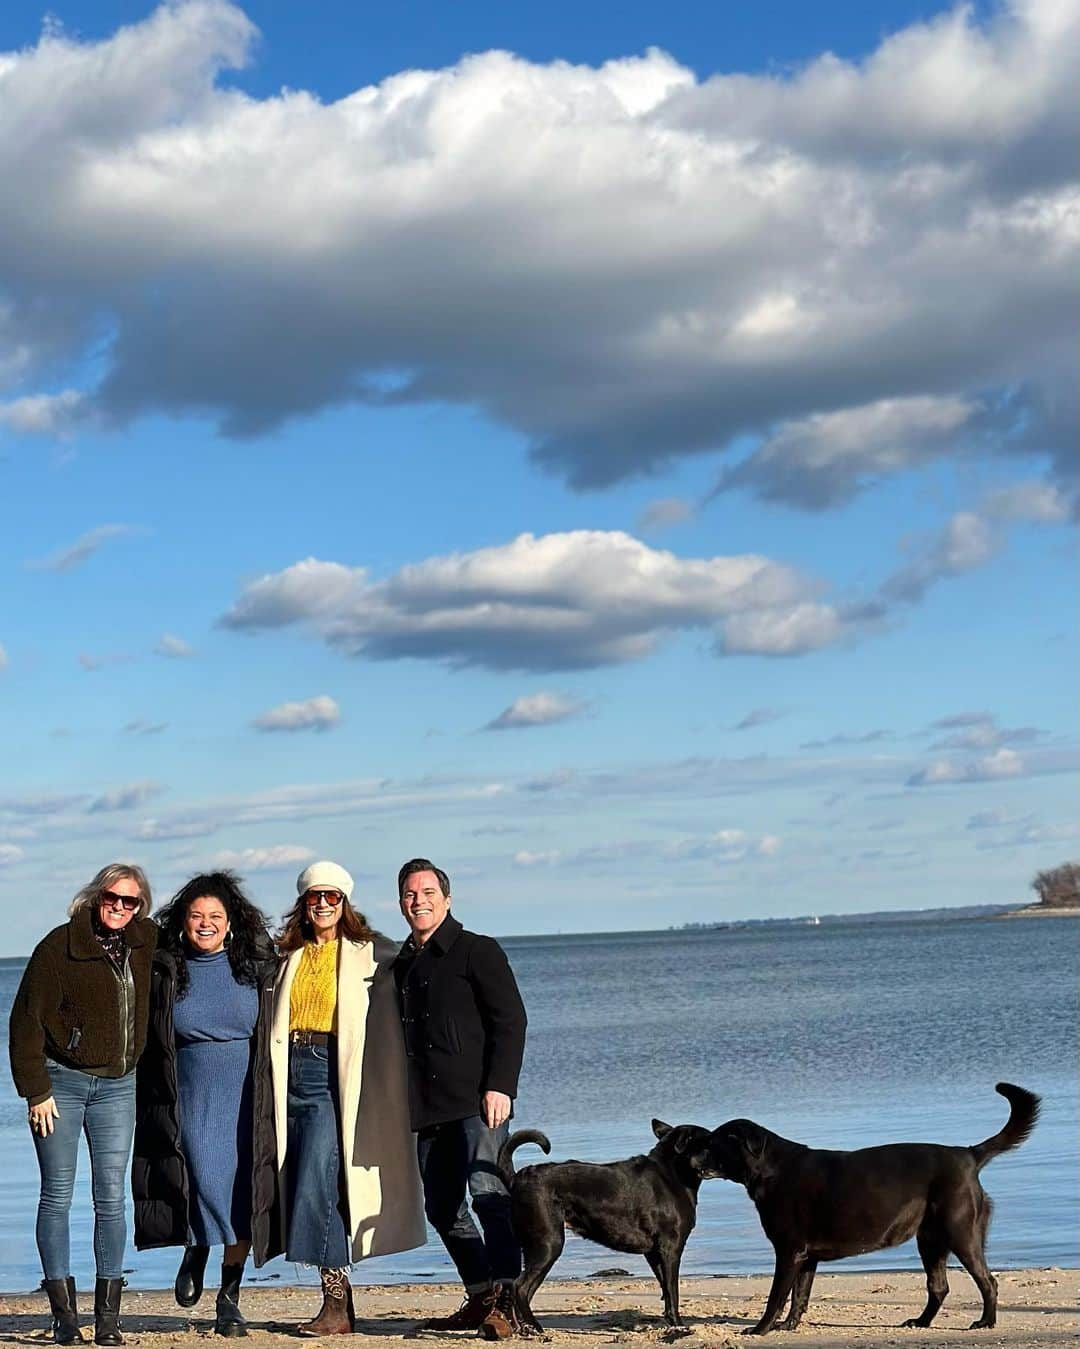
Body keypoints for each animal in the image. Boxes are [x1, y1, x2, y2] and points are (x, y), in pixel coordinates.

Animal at [496, 1122, 717, 1332]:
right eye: (709, 1141)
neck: (672, 1174)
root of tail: (517, 1178)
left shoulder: (654, 1253)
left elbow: (665, 1288)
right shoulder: (670, 1248)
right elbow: (673, 1290)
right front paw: (678, 1324)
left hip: (534, 1247)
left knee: (520, 1291)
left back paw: (524, 1329)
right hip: (549, 1244)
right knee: (520, 1287)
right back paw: (536, 1327)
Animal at [695, 1079, 1040, 1332]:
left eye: (712, 1144)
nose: (691, 1160)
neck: (771, 1169)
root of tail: (968, 1154)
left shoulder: (789, 1250)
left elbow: (777, 1296)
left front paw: (761, 1329)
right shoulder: (805, 1257)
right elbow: (799, 1296)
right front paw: (789, 1326)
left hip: (960, 1233)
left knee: (988, 1281)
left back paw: (985, 1322)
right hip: (930, 1239)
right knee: (939, 1287)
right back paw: (920, 1322)